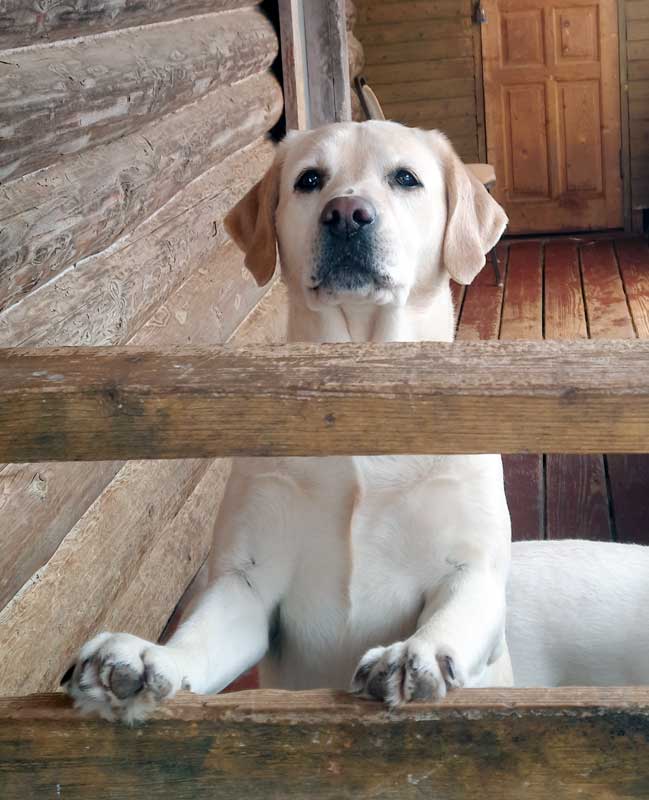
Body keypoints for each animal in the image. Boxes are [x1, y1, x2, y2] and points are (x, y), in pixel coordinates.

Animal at [64, 120, 512, 724]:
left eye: (405, 178)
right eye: (310, 180)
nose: (346, 213)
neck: (361, 385)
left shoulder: (474, 569)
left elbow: (456, 612)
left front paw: (417, 652)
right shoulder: (248, 583)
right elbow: (198, 637)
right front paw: (146, 658)